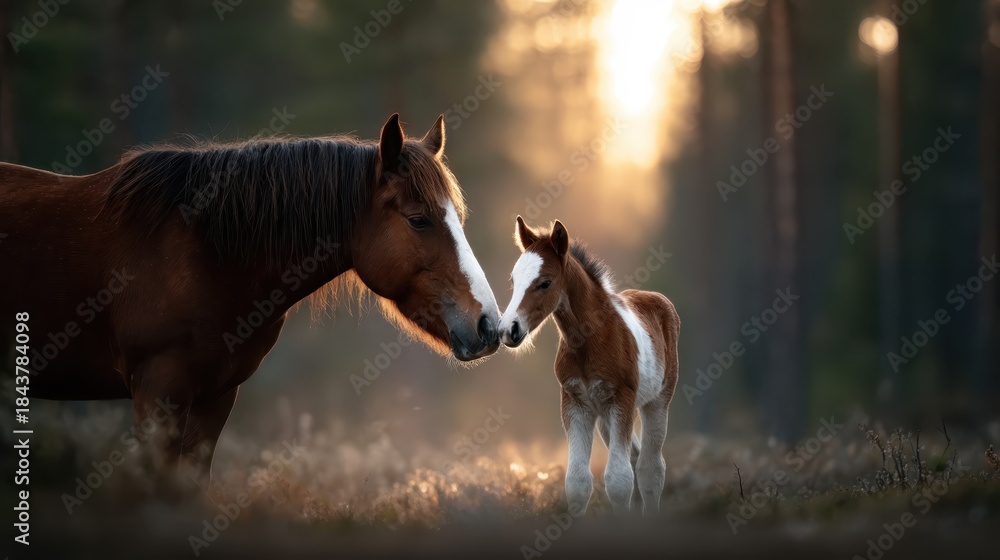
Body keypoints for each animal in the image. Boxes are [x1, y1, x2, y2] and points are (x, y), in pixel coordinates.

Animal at [497, 217, 679, 515]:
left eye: (545, 283)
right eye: (514, 280)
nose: (507, 330)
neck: (588, 339)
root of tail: (655, 298)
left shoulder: (621, 399)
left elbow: (618, 480)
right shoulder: (575, 403)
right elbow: (578, 482)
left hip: (657, 401)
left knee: (650, 468)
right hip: (604, 414)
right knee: (635, 457)